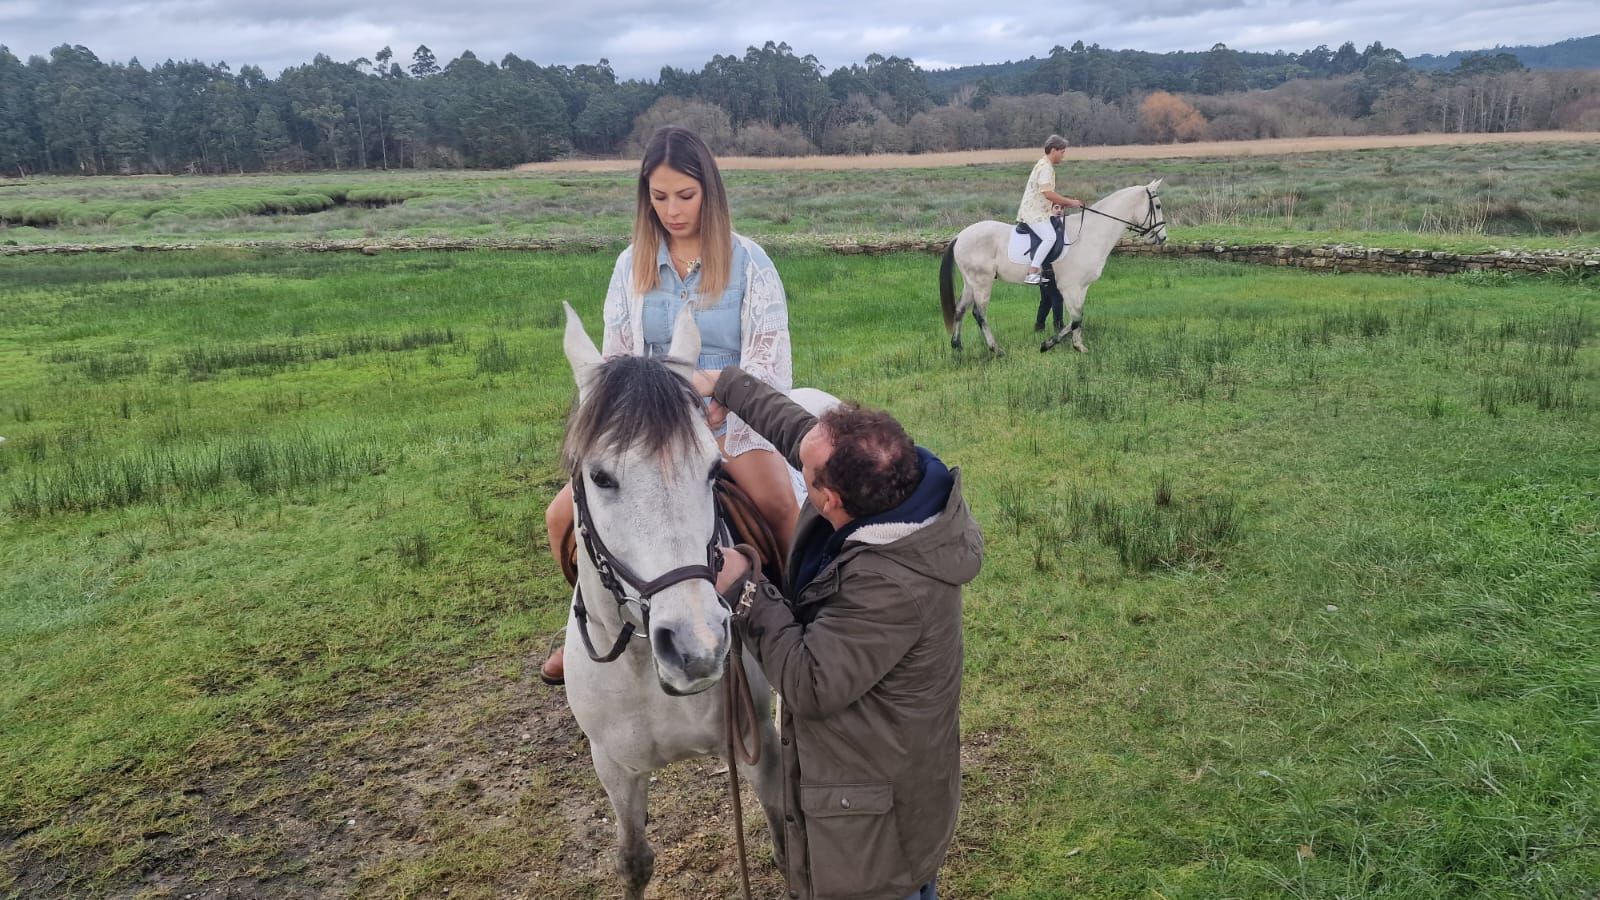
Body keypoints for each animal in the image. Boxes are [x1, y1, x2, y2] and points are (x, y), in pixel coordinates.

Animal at [563, 302, 787, 896]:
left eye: (713, 470)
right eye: (600, 476)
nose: (697, 647)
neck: (643, 665)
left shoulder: (756, 748)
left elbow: (786, 842)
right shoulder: (614, 768)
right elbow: (634, 860)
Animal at [934, 176, 1177, 352]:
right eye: (1157, 205)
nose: (1163, 237)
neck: (1089, 234)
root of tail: (961, 236)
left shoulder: (1081, 287)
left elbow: (1078, 316)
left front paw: (1079, 347)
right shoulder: (1069, 287)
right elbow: (1076, 319)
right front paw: (1047, 344)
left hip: (971, 282)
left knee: (960, 310)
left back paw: (957, 347)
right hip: (982, 282)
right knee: (979, 313)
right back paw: (996, 349)